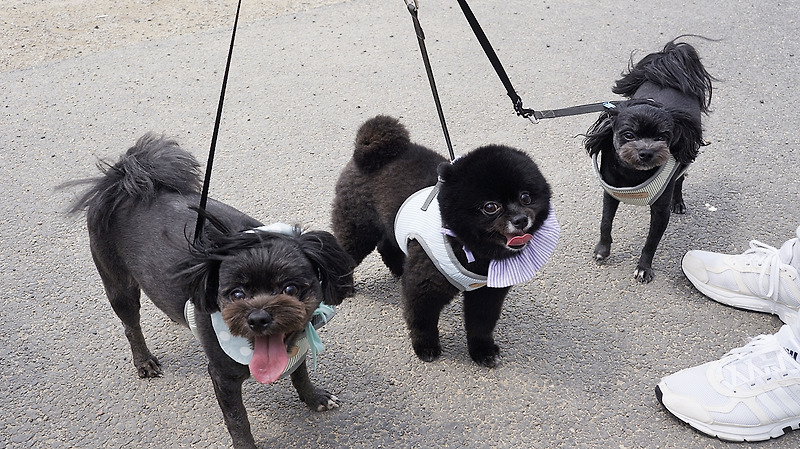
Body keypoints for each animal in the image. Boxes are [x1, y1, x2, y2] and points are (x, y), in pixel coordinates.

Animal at [67, 134, 354, 448]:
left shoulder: (297, 346)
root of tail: (122, 180)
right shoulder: (222, 378)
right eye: (236, 294)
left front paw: (313, 398)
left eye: (290, 288)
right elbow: (238, 420)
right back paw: (143, 361)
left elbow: (300, 373)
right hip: (119, 287)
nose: (259, 318)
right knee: (131, 326)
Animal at [328, 115, 560, 368]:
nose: (520, 219)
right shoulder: (423, 287)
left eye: (526, 197)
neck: (467, 246)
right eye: (490, 207)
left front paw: (482, 350)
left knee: (387, 245)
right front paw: (425, 347)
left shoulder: (486, 293)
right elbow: (422, 322)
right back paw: (343, 287)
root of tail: (370, 152)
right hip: (359, 229)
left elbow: (481, 325)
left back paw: (399, 269)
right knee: (344, 252)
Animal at [580, 39, 712, 284]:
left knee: (680, 178)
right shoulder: (611, 194)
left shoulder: (660, 212)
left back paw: (678, 202)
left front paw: (643, 268)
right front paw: (603, 250)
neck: (633, 174)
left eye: (662, 137)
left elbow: (651, 242)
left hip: (685, 158)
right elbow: (605, 223)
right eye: (628, 135)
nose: (646, 152)